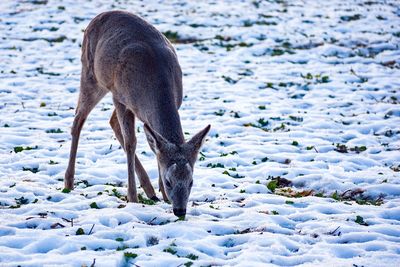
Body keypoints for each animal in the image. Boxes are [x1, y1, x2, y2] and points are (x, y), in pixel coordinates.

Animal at [63, 11, 209, 219]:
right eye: (169, 181)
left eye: (191, 181)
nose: (180, 210)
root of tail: (98, 17)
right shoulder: (120, 97)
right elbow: (131, 143)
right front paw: (132, 197)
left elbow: (155, 145)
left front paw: (163, 196)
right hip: (92, 75)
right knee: (78, 120)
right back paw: (68, 182)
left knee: (111, 122)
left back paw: (149, 190)